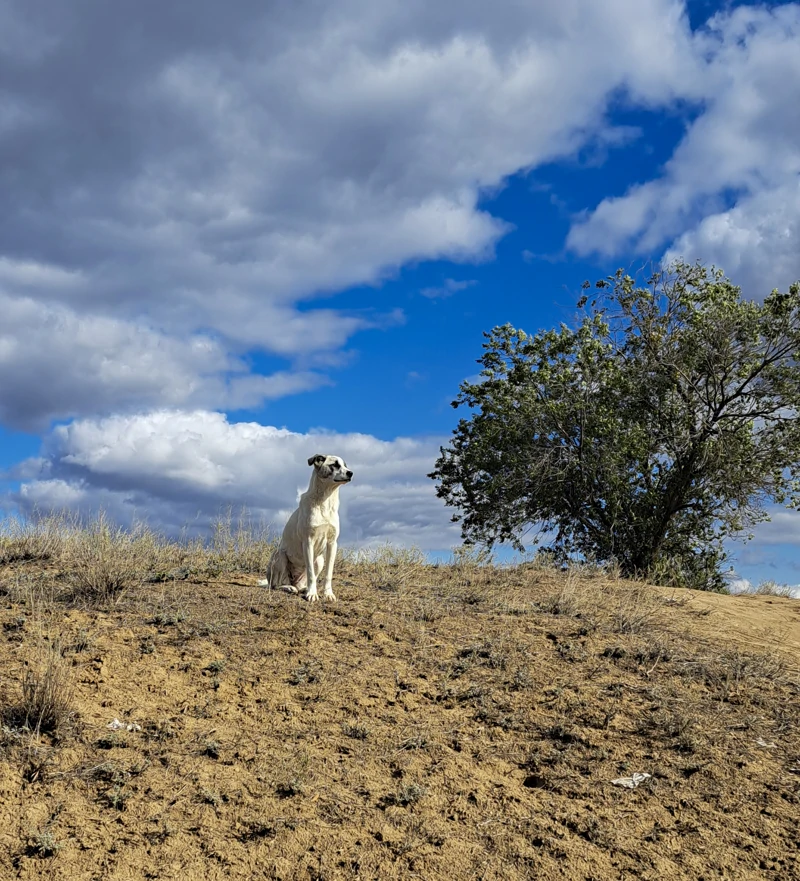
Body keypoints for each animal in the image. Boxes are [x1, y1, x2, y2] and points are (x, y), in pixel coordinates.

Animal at [260, 458, 354, 600]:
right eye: (334, 465)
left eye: (345, 465)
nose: (351, 473)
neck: (325, 500)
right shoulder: (308, 541)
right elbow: (310, 573)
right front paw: (312, 594)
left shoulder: (332, 543)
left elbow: (328, 574)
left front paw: (327, 594)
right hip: (280, 555)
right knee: (276, 584)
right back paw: (291, 588)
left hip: (319, 560)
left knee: (302, 583)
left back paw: (303, 588)